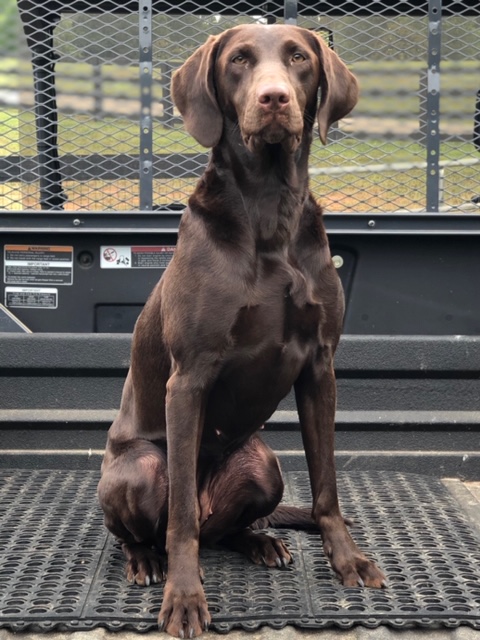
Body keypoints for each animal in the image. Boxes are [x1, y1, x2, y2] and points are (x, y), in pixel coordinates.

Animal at [98, 22, 386, 636]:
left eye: (299, 58)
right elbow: (180, 516)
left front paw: (347, 561)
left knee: (225, 530)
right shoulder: (188, 377)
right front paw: (185, 598)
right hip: (138, 470)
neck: (269, 209)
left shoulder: (320, 367)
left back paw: (258, 541)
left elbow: (326, 486)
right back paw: (145, 560)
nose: (273, 98)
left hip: (263, 464)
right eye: (238, 61)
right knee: (163, 525)